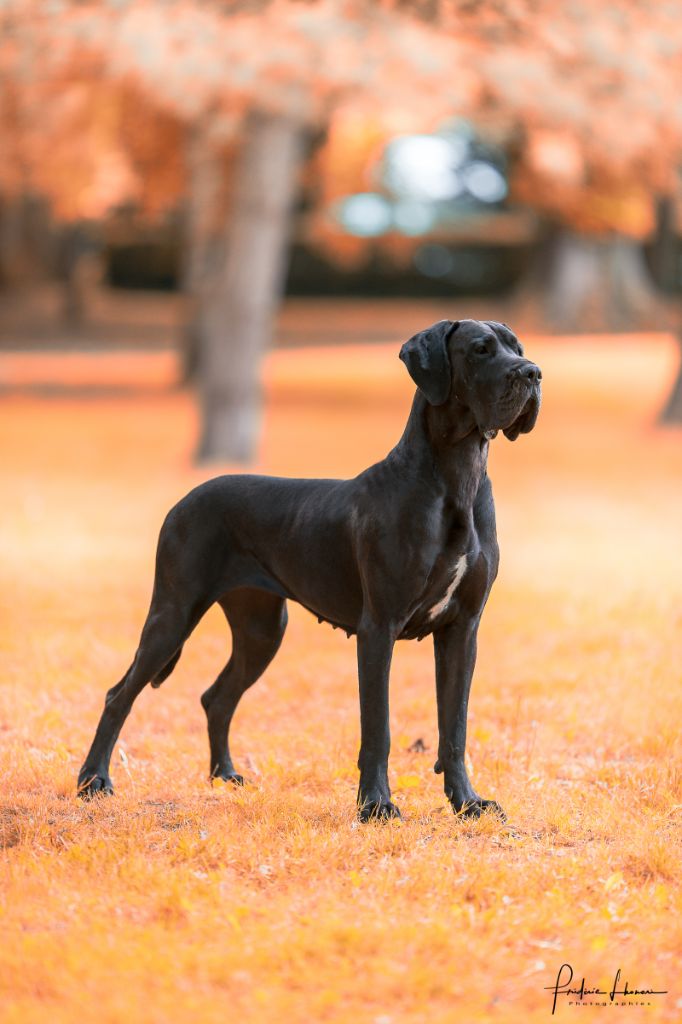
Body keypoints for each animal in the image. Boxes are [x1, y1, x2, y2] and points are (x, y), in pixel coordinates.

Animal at [79, 315, 540, 819]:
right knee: (119, 694)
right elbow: (377, 726)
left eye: (517, 348)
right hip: (174, 613)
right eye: (481, 349)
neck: (457, 475)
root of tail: (185, 499)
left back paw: (224, 775)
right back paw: (93, 780)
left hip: (261, 628)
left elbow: (454, 726)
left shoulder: (462, 629)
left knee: (217, 697)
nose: (533, 373)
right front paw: (375, 805)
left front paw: (467, 802)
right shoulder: (379, 628)